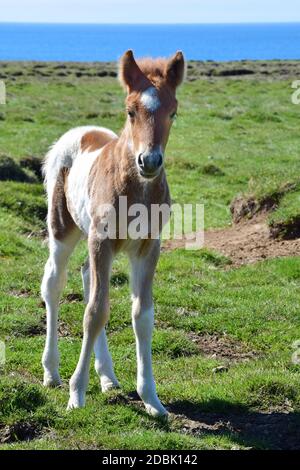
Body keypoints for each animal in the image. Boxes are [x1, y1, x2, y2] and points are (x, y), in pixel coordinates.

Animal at [41, 49, 184, 414]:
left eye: (173, 112)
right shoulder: (101, 240)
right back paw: (51, 372)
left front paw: (152, 399)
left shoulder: (148, 247)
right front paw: (76, 394)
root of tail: (81, 131)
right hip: (63, 230)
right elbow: (94, 312)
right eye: (131, 111)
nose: (150, 161)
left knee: (86, 277)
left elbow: (142, 315)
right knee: (55, 284)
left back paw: (107, 376)